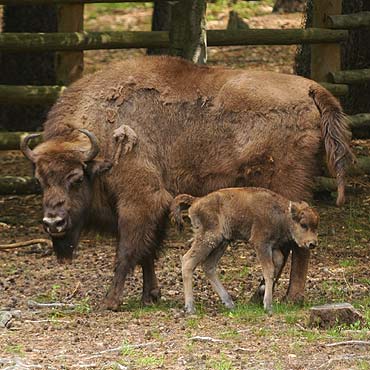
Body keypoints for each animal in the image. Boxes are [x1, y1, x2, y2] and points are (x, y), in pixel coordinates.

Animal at [171, 188, 318, 316]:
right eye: (303, 225)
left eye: (316, 226)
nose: (312, 243)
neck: (281, 214)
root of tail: (197, 200)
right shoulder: (261, 244)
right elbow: (269, 270)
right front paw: (268, 305)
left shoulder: (273, 247)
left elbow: (278, 262)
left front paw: (262, 289)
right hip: (209, 240)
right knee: (188, 261)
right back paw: (190, 307)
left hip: (222, 242)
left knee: (209, 266)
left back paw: (229, 303)